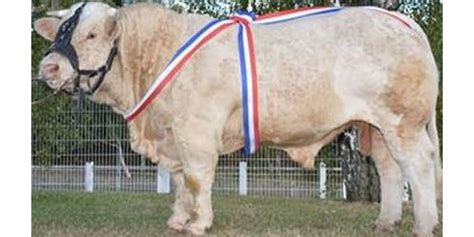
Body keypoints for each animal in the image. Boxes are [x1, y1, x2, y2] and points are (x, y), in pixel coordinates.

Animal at [36, 2, 440, 237]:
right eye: (60, 33)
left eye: (90, 34)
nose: (48, 67)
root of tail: (402, 20)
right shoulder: (174, 135)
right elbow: (180, 182)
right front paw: (179, 220)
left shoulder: (196, 130)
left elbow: (196, 179)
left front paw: (199, 224)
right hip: (377, 127)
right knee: (390, 169)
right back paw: (386, 221)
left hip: (402, 122)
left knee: (418, 166)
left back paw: (424, 224)